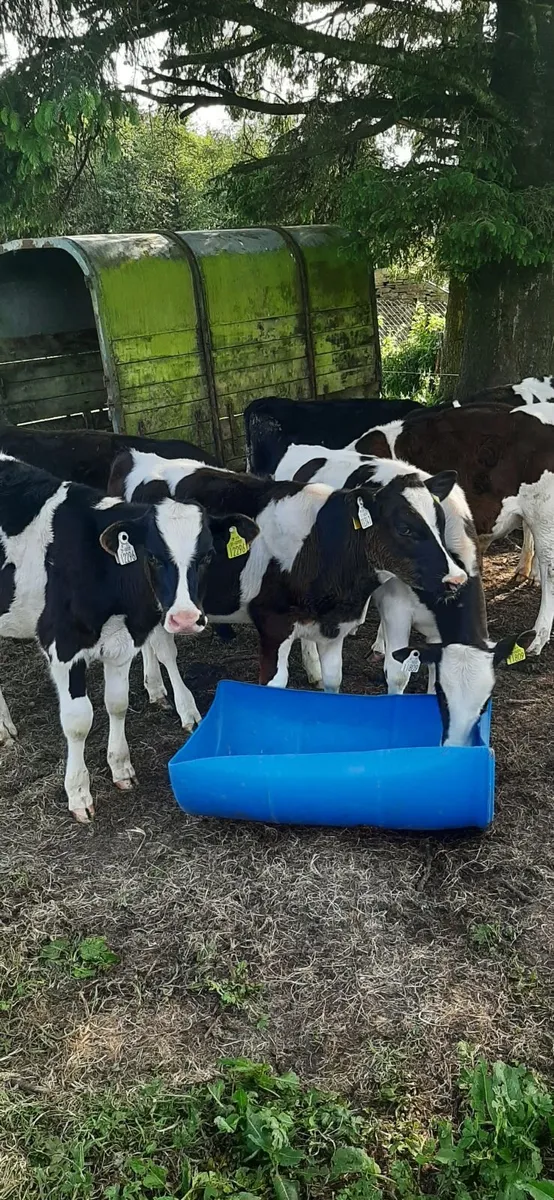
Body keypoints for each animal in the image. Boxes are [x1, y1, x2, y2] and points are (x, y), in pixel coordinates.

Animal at [0, 453, 253, 822]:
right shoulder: (62, 645)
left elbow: (116, 703)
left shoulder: (123, 640)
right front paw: (78, 794)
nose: (185, 618)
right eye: (153, 556)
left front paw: (120, 768)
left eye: (207, 555)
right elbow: (78, 721)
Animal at [107, 449, 467, 709]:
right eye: (405, 528)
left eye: (439, 521)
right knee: (160, 644)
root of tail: (135, 457)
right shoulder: (272, 622)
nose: (456, 577)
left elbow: (333, 680)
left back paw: (154, 688)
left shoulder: (334, 626)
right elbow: (274, 685)